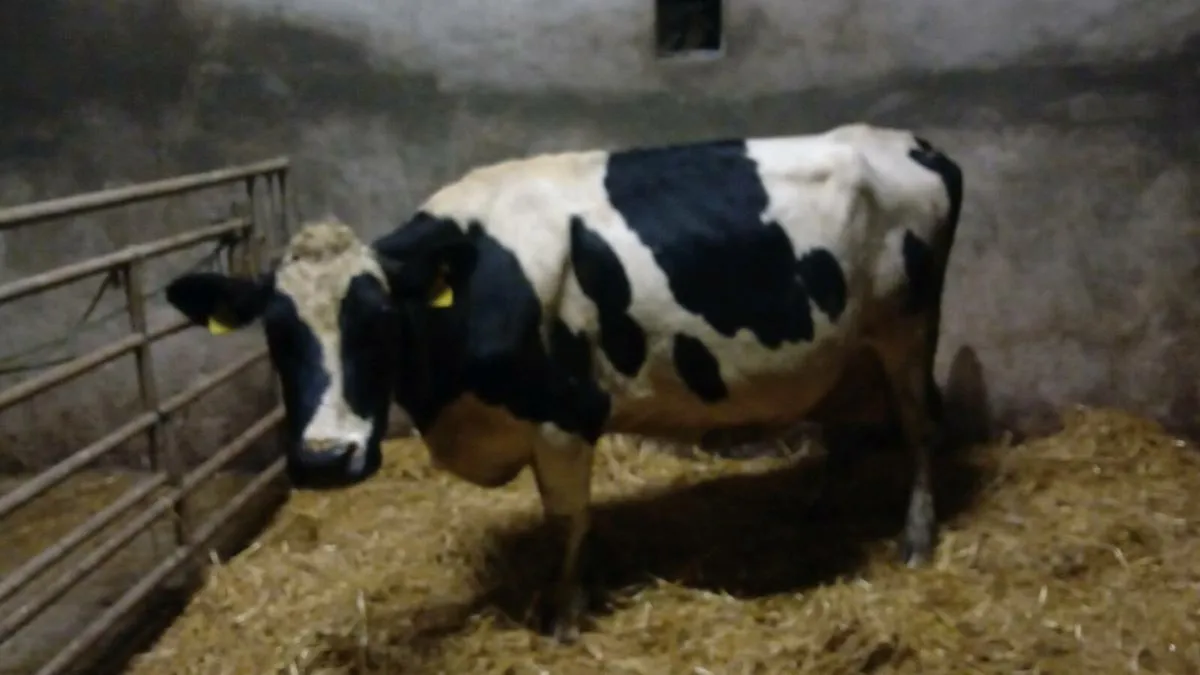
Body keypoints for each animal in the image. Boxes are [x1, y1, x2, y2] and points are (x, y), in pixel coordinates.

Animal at [164, 122, 963, 643]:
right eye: (276, 333)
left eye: (380, 322)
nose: (327, 459)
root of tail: (907, 139)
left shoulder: (565, 413)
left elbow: (567, 520)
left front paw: (564, 614)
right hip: (855, 343)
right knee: (852, 426)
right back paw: (816, 513)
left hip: (908, 324)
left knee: (922, 424)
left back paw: (915, 537)